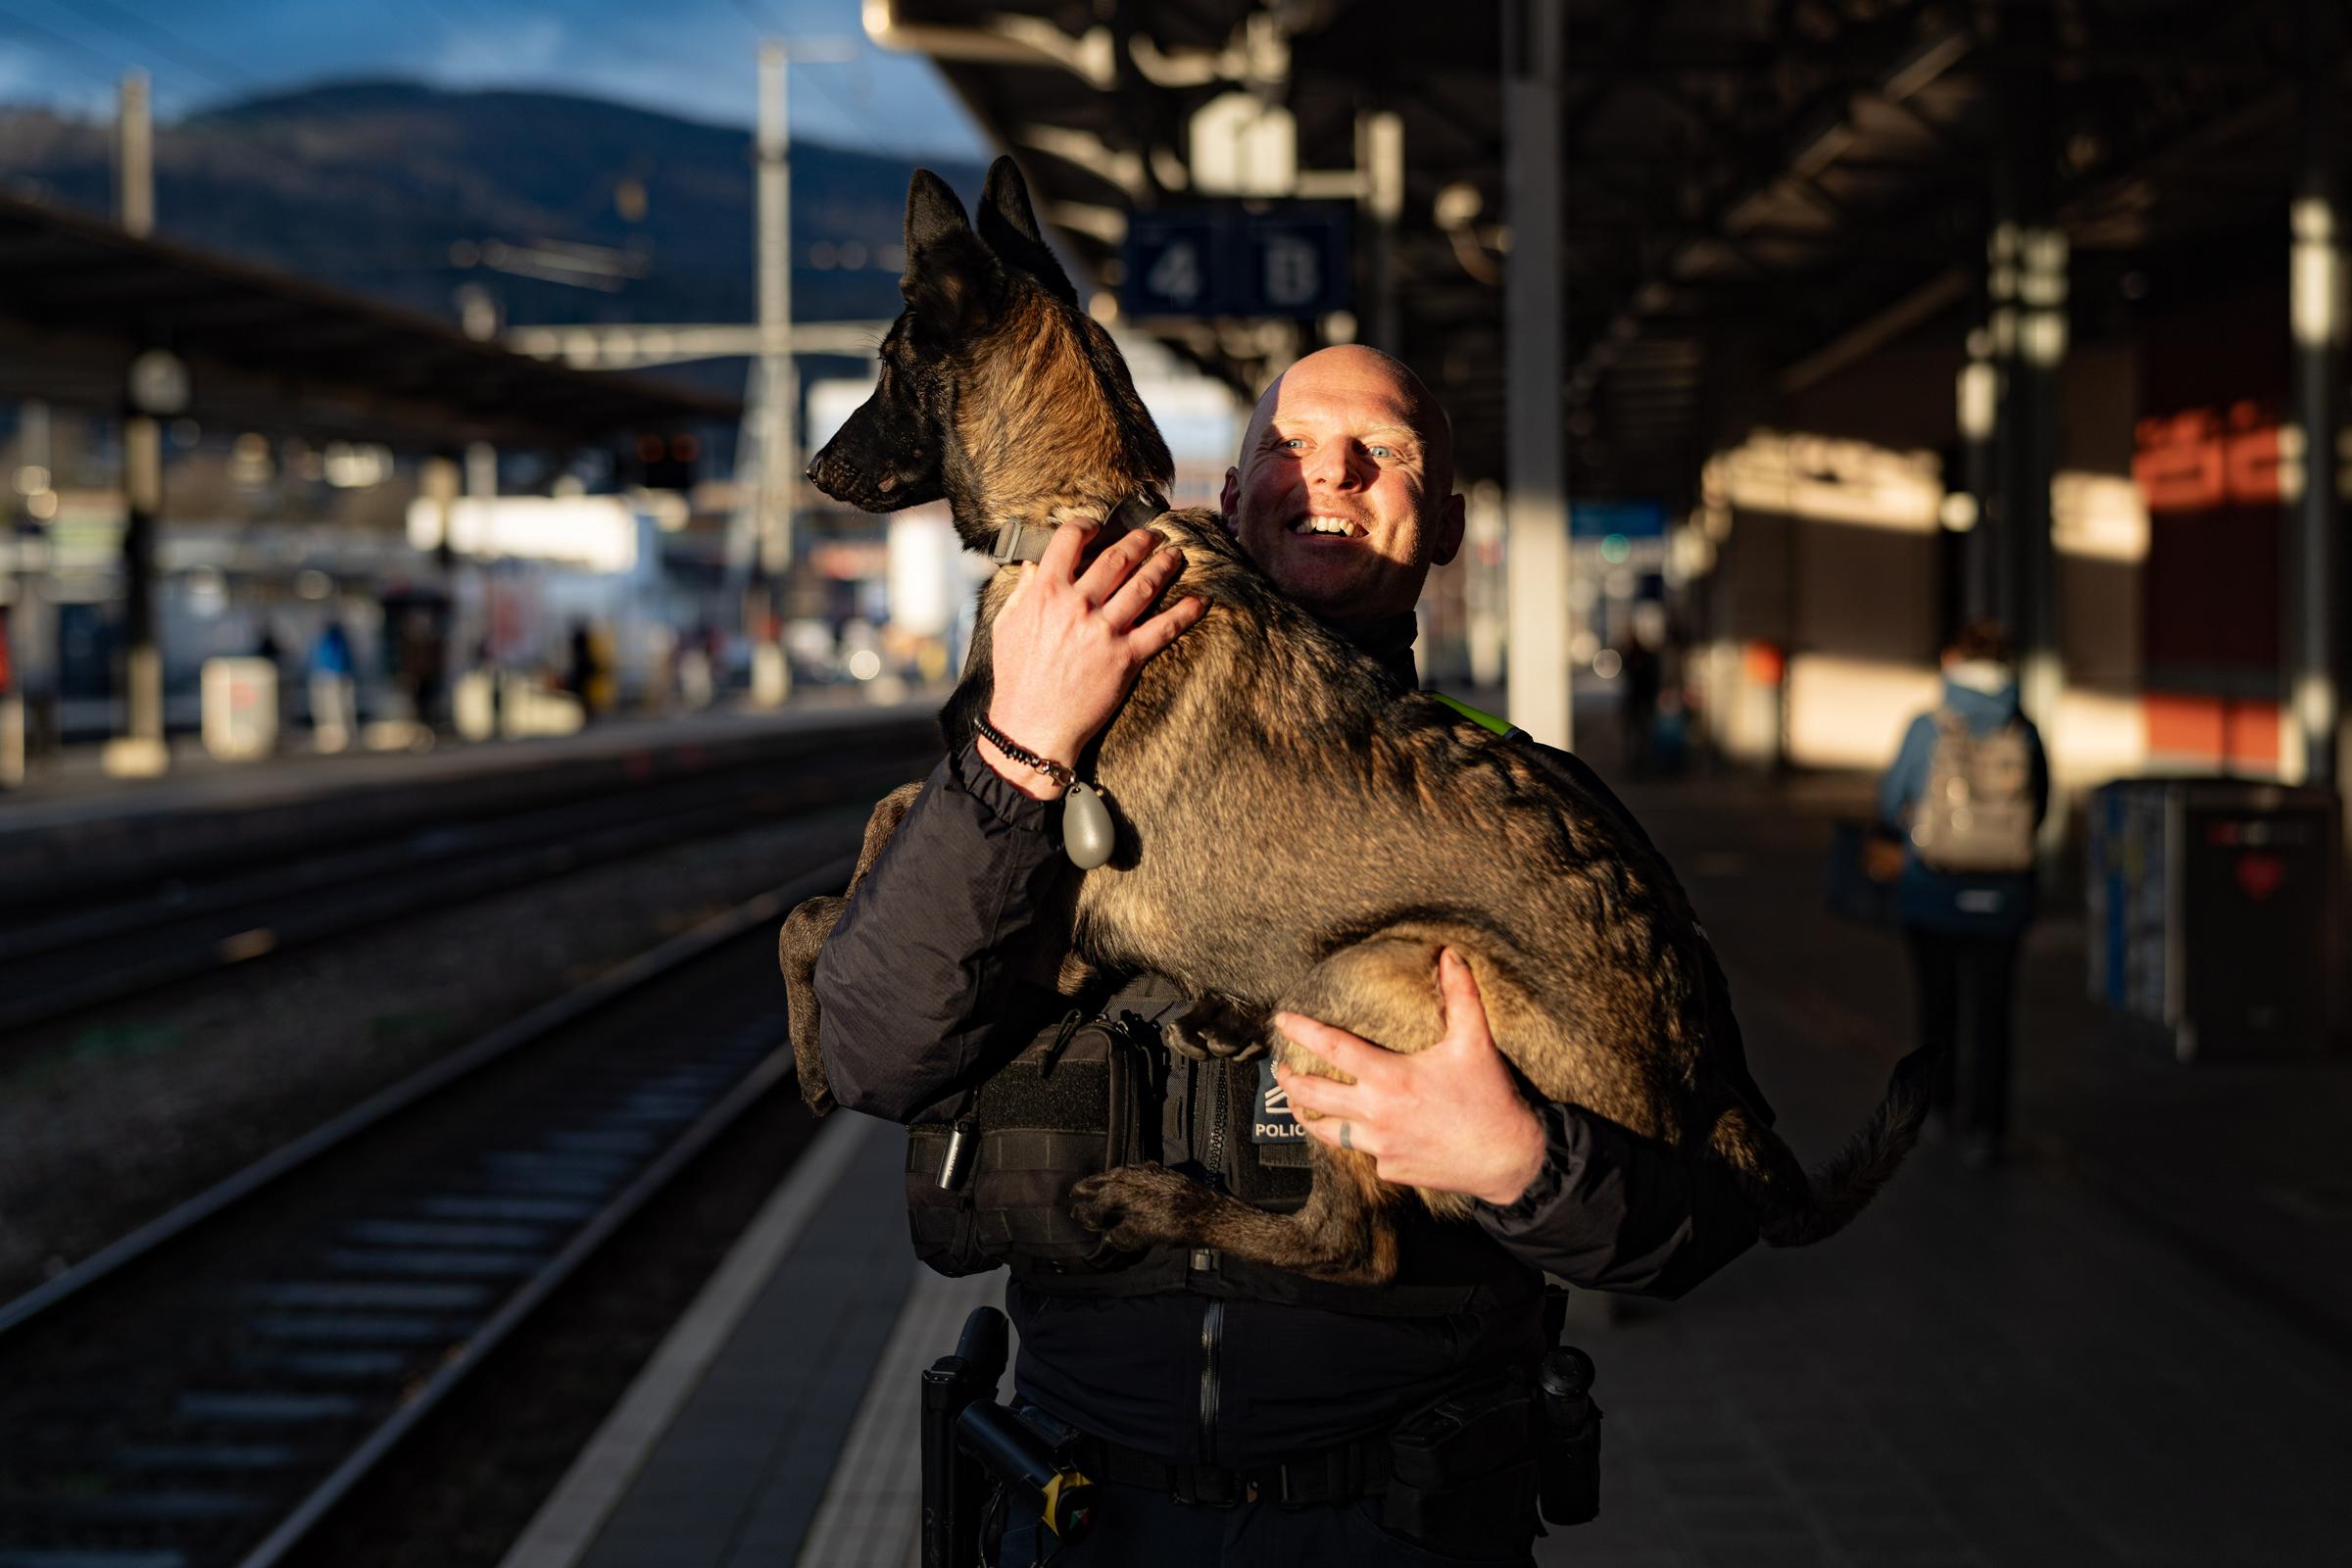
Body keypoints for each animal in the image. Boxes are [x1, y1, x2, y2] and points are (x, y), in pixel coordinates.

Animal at [780, 156, 1919, 1288]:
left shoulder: (1050, 939)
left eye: (887, 367)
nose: (812, 470)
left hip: (1356, 976)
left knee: (1353, 1242)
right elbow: (887, 817)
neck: (1085, 511)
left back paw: (1154, 1197)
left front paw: (812, 1059)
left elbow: (819, 904)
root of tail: (1704, 1078)